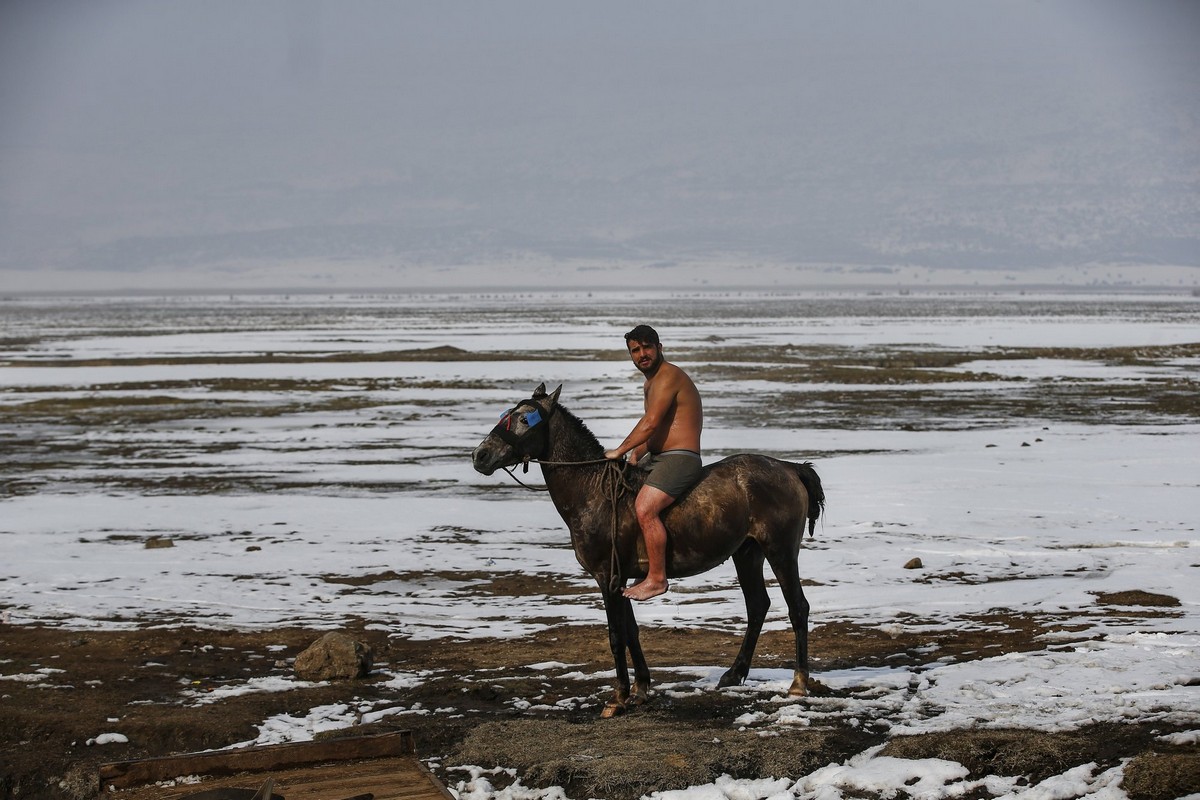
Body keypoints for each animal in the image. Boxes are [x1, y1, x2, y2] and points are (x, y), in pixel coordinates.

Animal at [468, 383, 825, 714]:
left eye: (524, 419)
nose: (480, 455)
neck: (593, 490)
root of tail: (789, 467)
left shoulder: (607, 576)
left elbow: (615, 635)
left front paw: (618, 697)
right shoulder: (622, 579)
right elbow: (631, 631)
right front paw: (640, 687)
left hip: (780, 551)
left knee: (797, 608)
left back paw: (798, 682)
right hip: (747, 553)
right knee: (757, 606)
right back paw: (734, 674)